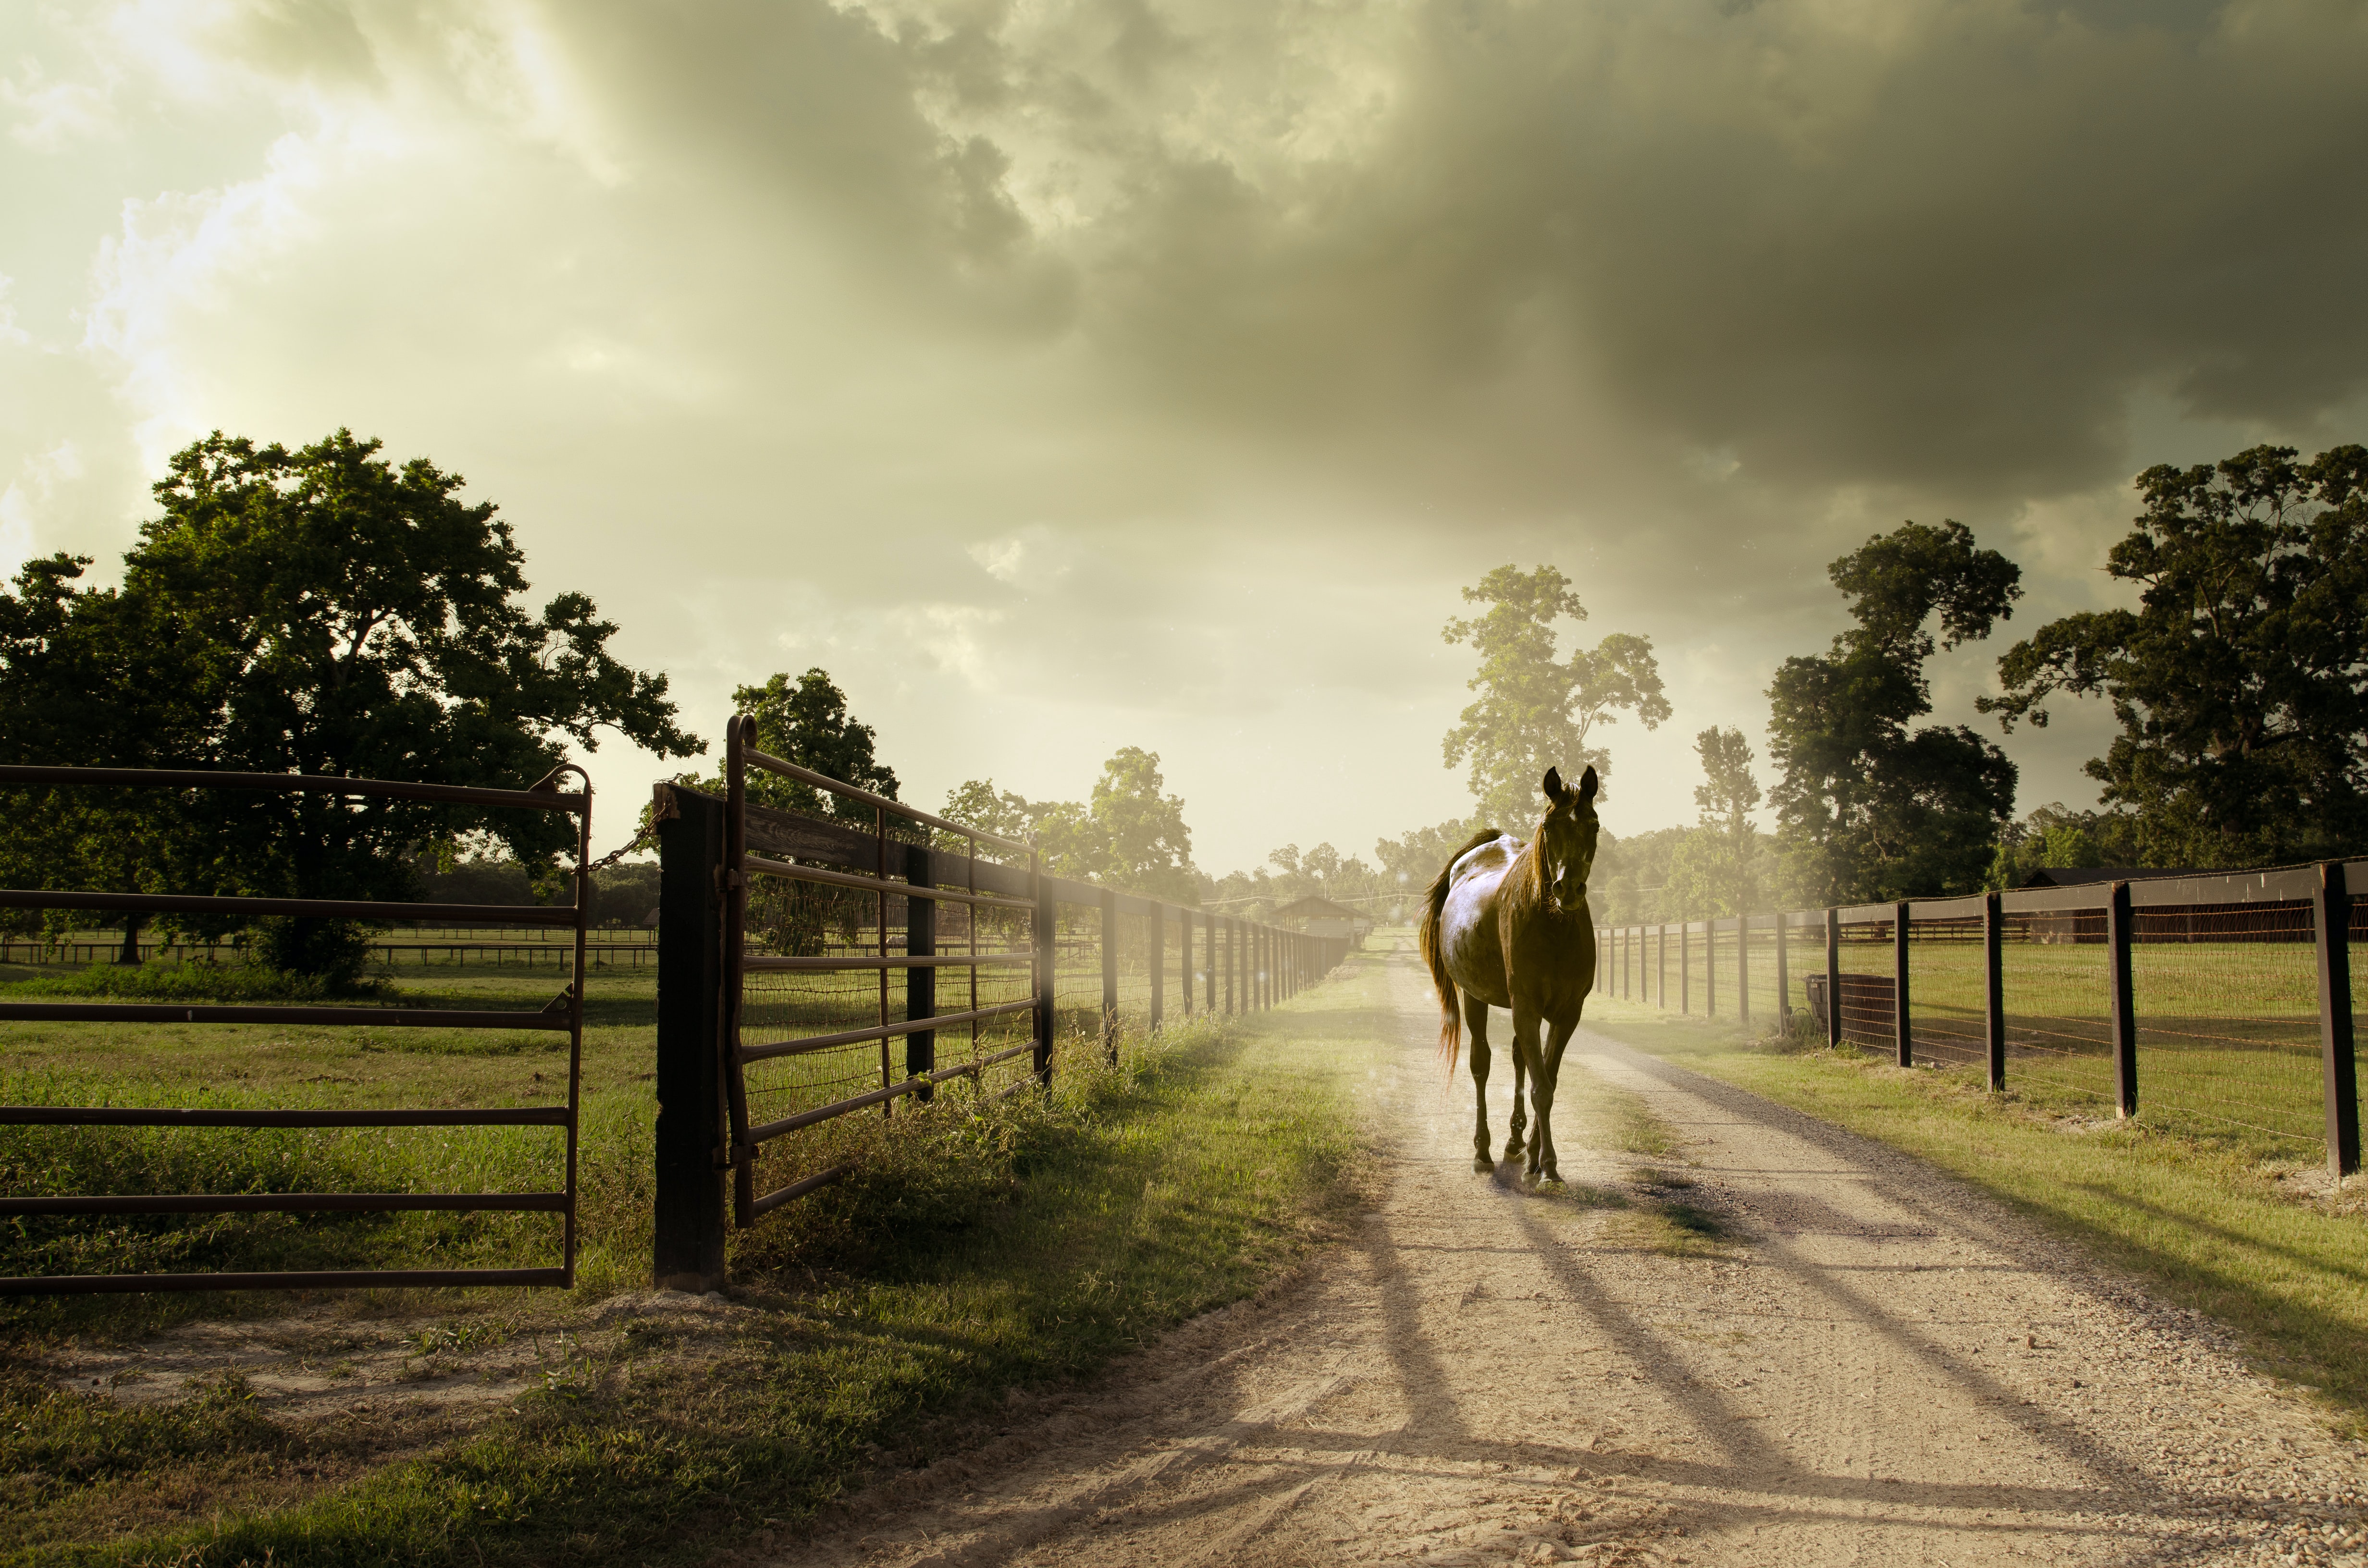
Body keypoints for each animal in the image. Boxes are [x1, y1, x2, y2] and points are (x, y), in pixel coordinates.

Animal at [1418, 765, 1600, 1183]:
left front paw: (1535, 1157)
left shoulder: (1568, 1014)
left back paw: (1514, 1144)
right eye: (1549, 826)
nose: (1568, 889)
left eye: (1594, 825)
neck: (1554, 928)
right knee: (1481, 1065)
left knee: (1518, 1059)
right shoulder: (1527, 1009)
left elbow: (1547, 1078)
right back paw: (1483, 1151)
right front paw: (1548, 1167)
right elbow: (1542, 1088)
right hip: (1475, 999)